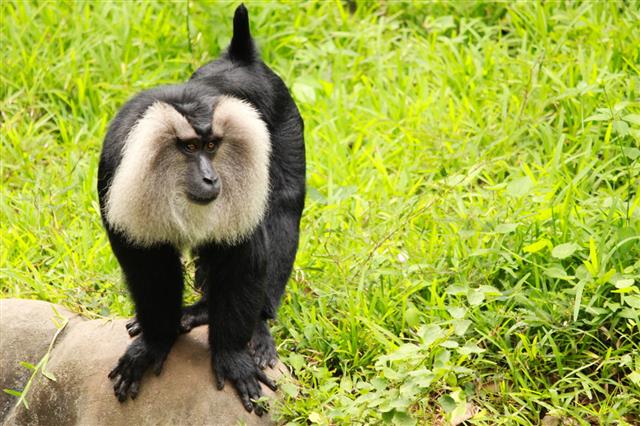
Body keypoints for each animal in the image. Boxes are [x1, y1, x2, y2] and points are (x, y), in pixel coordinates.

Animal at [97, 4, 305, 415]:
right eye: (190, 148)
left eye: (212, 145)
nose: (211, 178)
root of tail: (242, 58)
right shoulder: (114, 174)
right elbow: (148, 270)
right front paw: (153, 343)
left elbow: (247, 257)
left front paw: (233, 356)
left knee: (284, 212)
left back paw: (242, 322)